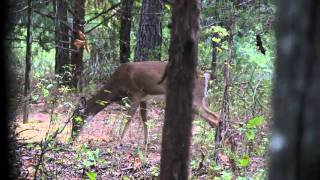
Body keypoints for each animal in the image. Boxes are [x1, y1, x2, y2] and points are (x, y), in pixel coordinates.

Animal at [71, 60, 219, 149]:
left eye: (76, 119)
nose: (72, 138)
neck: (116, 87)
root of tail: (205, 76)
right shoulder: (144, 98)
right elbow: (144, 119)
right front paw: (146, 143)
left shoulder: (136, 93)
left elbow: (129, 118)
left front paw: (118, 142)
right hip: (201, 99)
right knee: (215, 117)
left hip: (195, 99)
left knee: (214, 119)